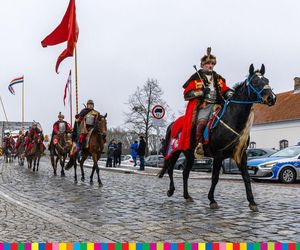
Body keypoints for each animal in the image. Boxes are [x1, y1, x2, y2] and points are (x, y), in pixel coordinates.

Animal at [159, 64, 276, 211]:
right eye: (255, 82)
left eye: (267, 80)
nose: (271, 98)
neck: (232, 118)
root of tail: (173, 124)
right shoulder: (218, 155)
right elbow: (215, 178)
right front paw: (212, 200)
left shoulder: (241, 155)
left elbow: (246, 177)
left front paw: (252, 202)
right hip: (174, 151)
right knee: (170, 169)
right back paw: (171, 190)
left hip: (189, 154)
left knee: (185, 173)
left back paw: (187, 196)